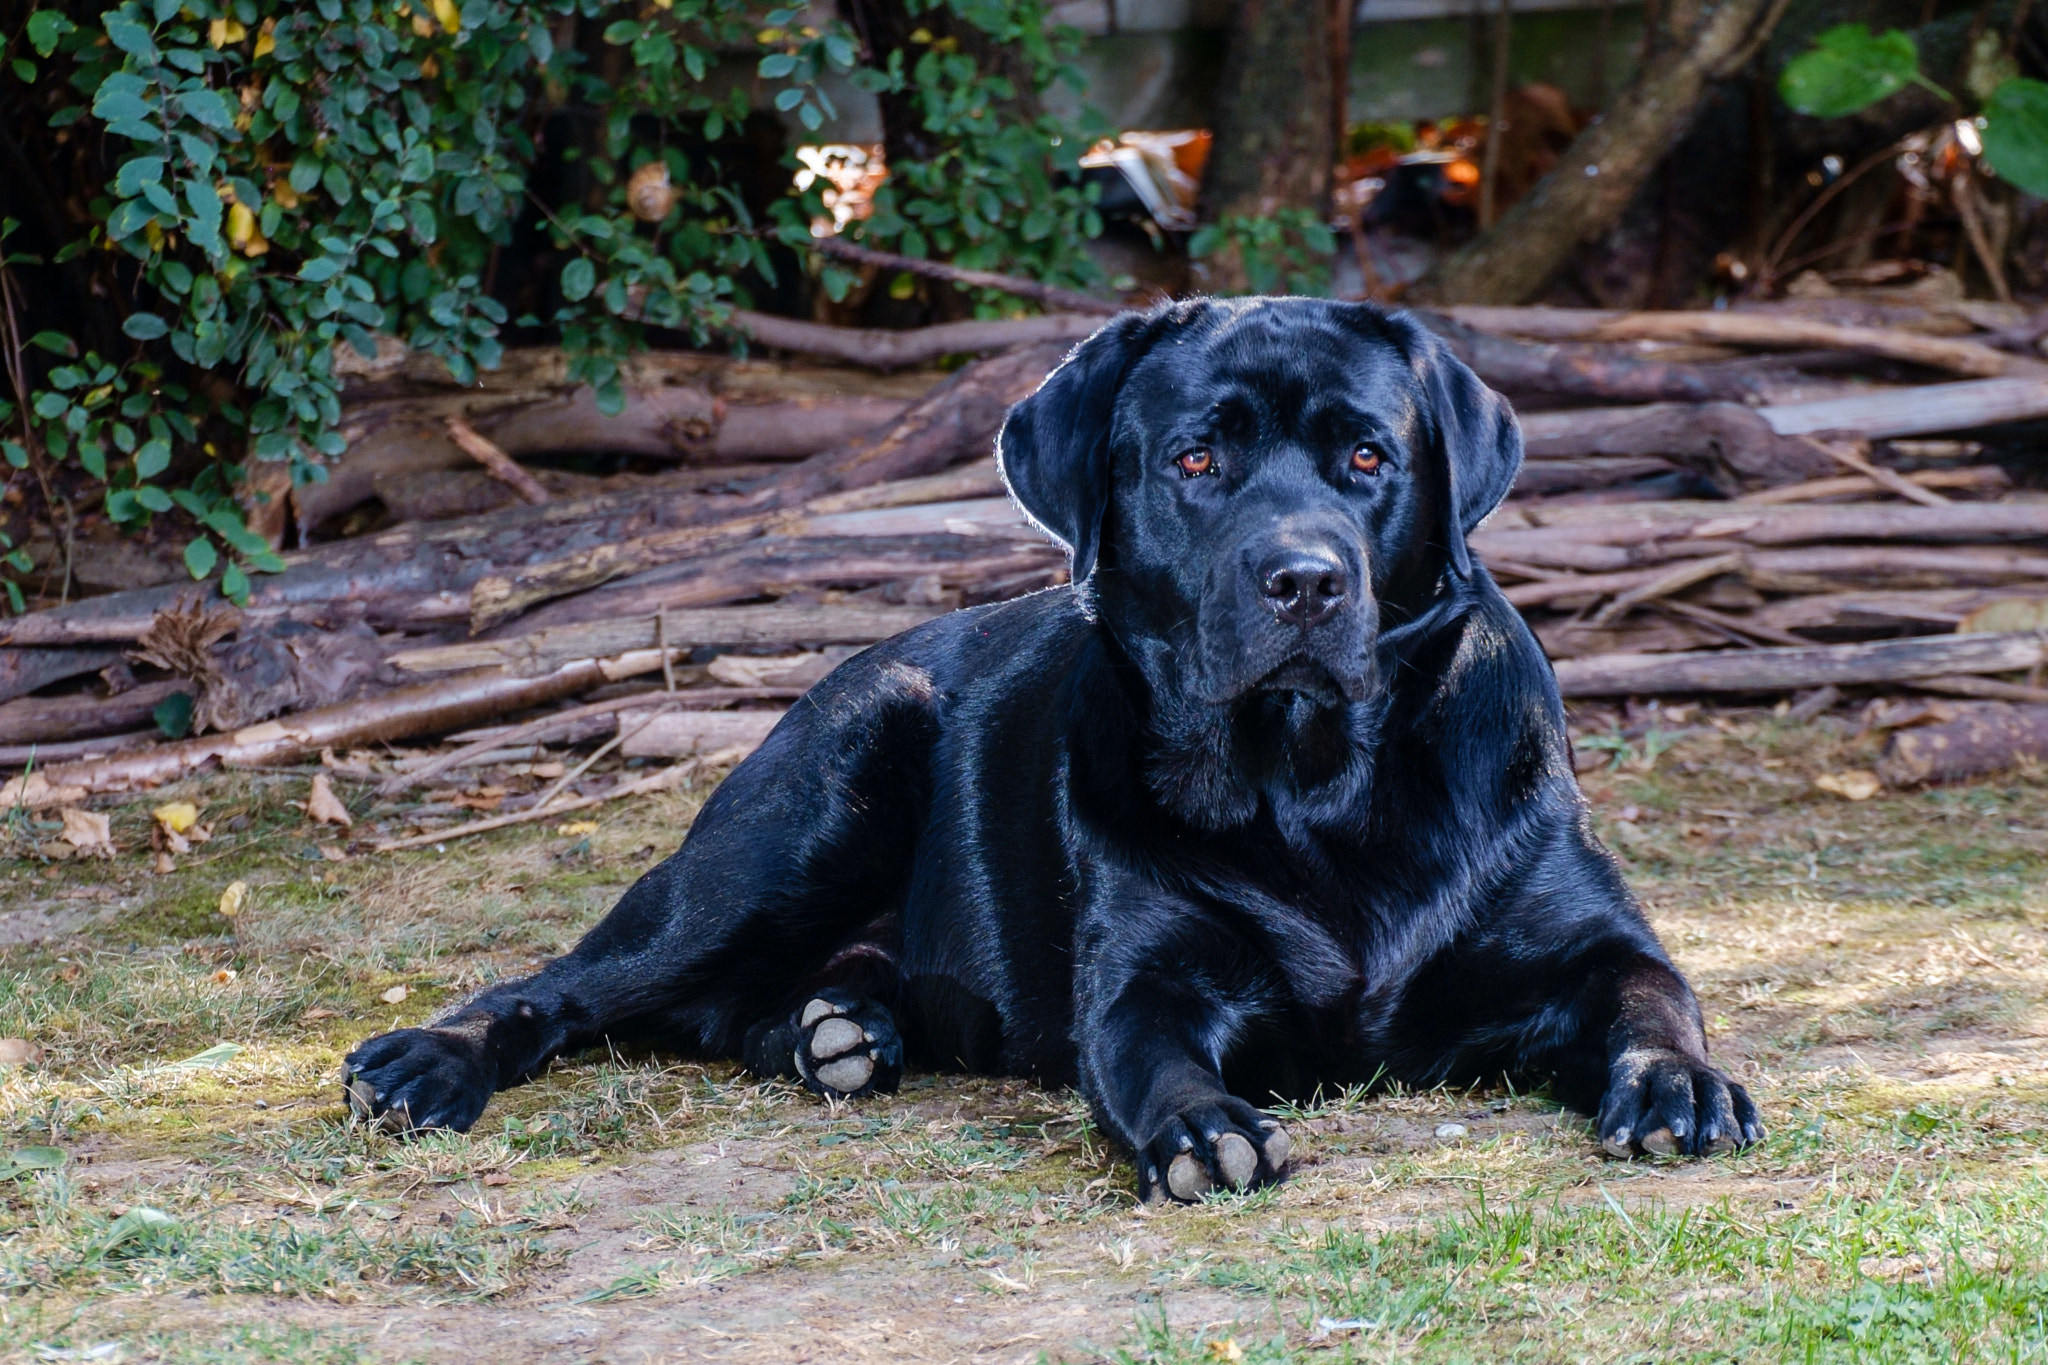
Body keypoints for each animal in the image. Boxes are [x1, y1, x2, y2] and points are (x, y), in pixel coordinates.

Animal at [348, 296, 1761, 1195]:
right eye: (1195, 461)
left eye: (1367, 457)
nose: (1304, 580)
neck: (1317, 785)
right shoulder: (1146, 984)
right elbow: (1150, 1062)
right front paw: (1203, 1131)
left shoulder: (1587, 940)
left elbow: (1653, 996)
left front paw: (1677, 1087)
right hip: (811, 798)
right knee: (570, 983)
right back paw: (430, 1062)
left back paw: (834, 1029)